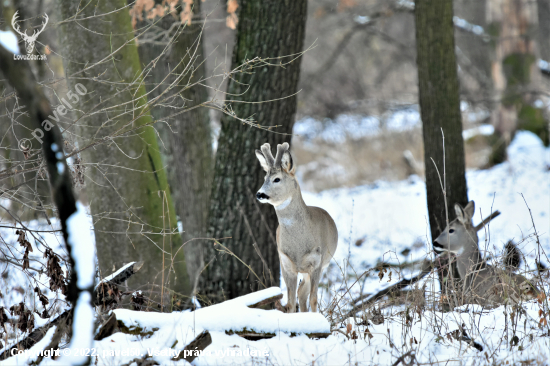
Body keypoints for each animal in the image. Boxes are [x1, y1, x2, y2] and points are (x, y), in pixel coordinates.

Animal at [256, 142, 338, 312]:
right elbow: (290, 302)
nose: (260, 194)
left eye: (277, 179)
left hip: (324, 264)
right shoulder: (286, 265)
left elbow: (314, 299)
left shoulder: (317, 262)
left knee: (305, 293)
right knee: (300, 293)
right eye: (265, 178)